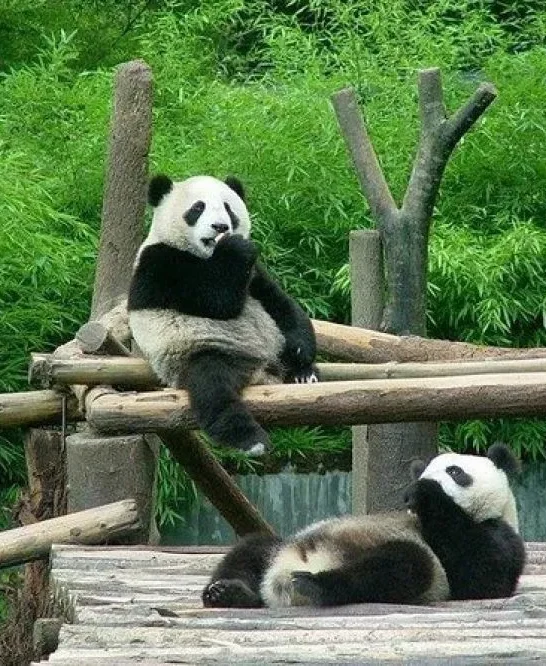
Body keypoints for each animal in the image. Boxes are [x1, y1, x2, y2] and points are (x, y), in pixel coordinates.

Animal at [128, 174, 317, 456]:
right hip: (203, 353)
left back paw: (303, 374)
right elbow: (218, 299)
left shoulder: (255, 275)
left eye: (228, 208)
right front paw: (235, 247)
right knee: (213, 390)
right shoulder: (161, 265)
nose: (220, 227)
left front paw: (301, 351)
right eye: (198, 208)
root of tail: (261, 371)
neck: (207, 256)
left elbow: (281, 304)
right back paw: (250, 440)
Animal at [202, 443, 525, 608]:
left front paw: (426, 494)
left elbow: (478, 576)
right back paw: (228, 592)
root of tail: (280, 579)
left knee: (404, 564)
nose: (416, 486)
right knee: (251, 548)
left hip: (416, 571)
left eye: (455, 471)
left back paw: (315, 585)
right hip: (283, 544)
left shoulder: (497, 535)